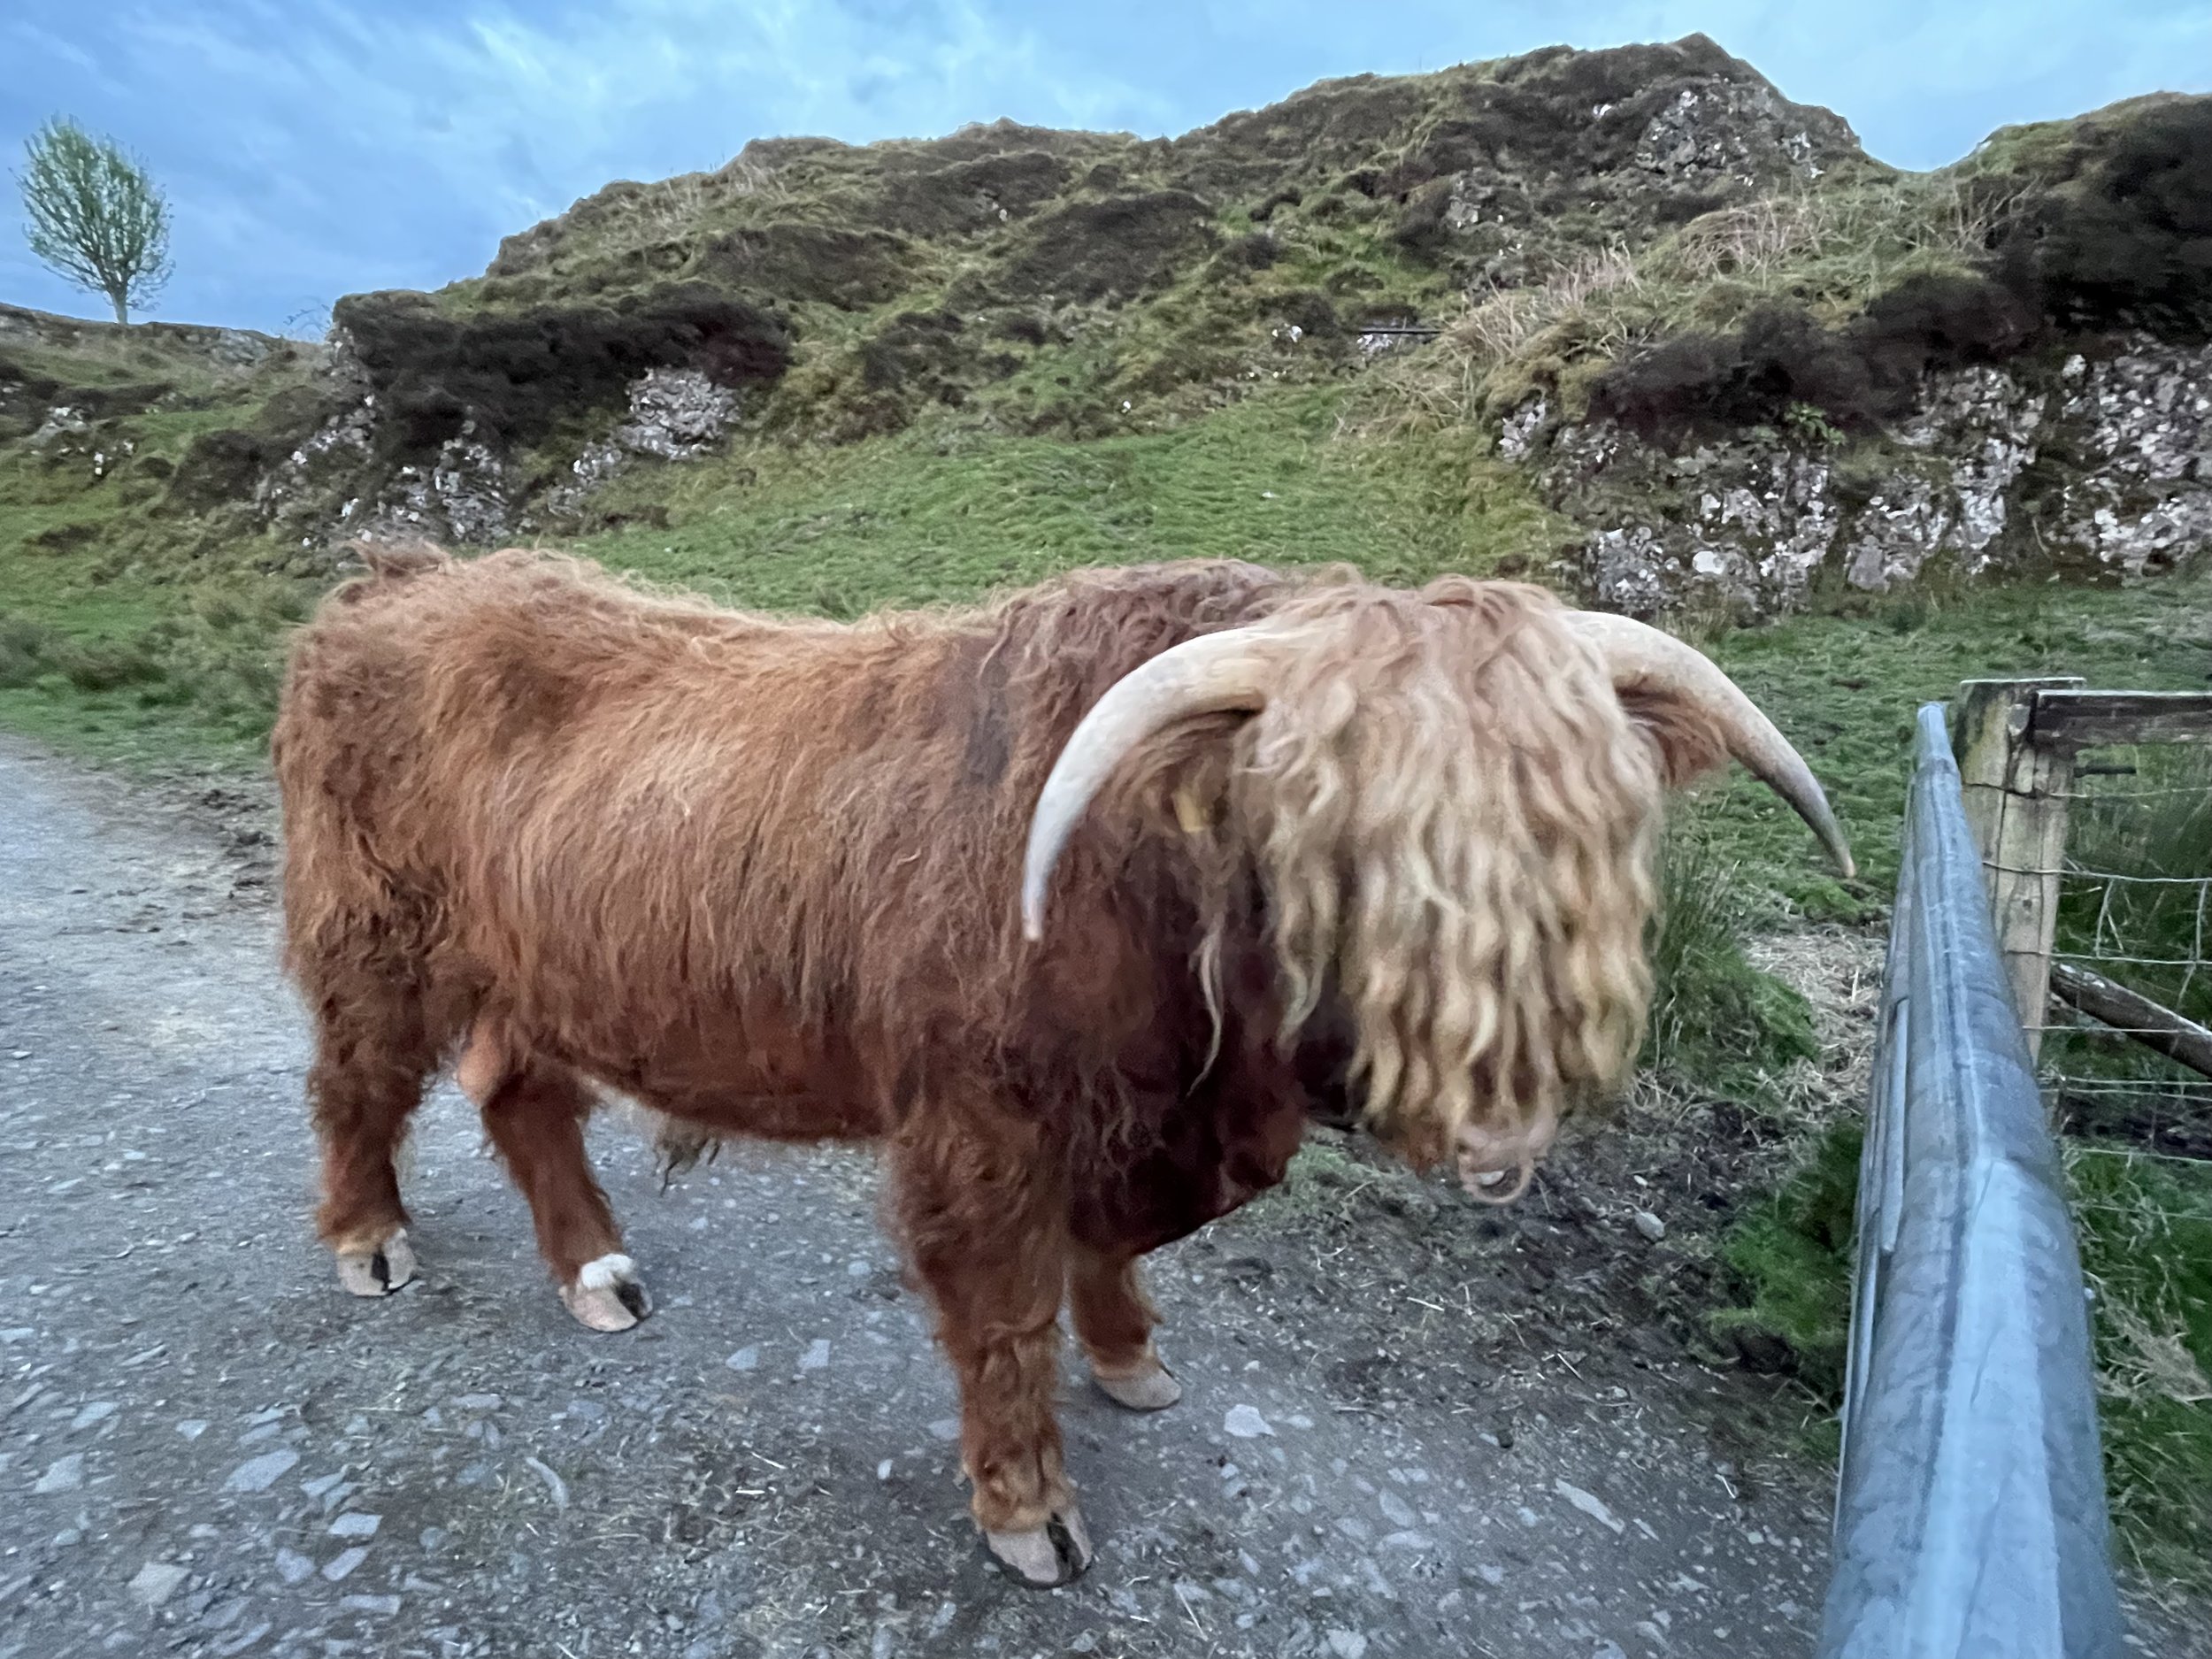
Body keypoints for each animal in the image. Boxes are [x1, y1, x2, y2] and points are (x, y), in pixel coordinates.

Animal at [272, 546, 1851, 1586]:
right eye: (1329, 832)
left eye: (1586, 830)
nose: (1495, 1117)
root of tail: (402, 575)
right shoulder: (975, 1126)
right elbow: (1000, 1313)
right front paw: (1029, 1506)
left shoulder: (1153, 1122)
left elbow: (1125, 1241)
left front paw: (1132, 1354)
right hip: (376, 930)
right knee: (358, 1079)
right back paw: (366, 1239)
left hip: (529, 961)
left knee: (516, 1085)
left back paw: (597, 1270)